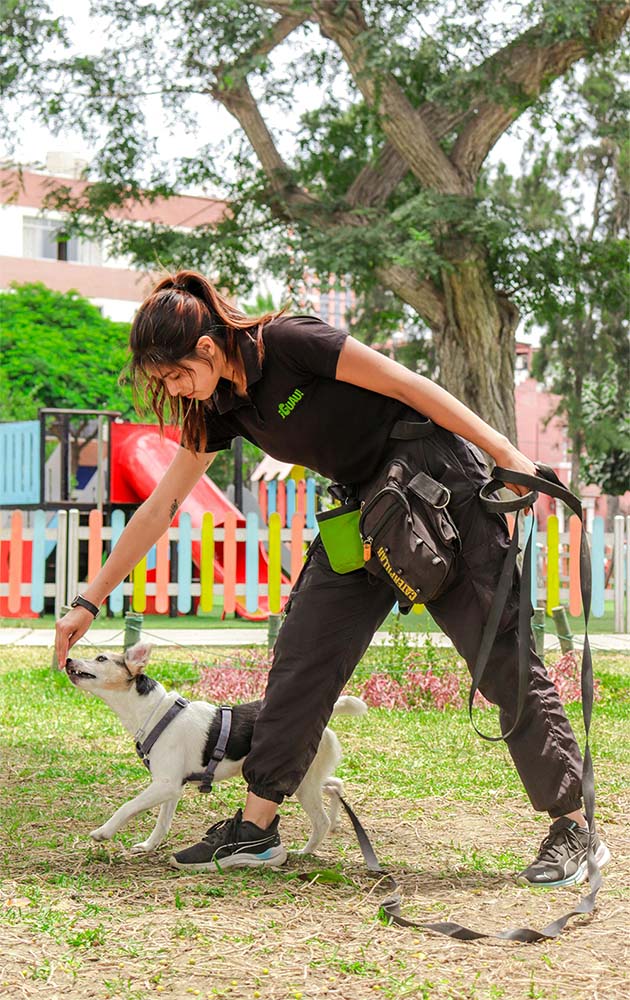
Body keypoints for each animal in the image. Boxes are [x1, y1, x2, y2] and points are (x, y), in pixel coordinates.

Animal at [65, 644, 368, 856]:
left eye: (101, 659)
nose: (67, 659)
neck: (155, 711)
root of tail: (325, 717)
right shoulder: (171, 788)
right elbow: (162, 823)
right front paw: (149, 846)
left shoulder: (165, 785)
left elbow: (127, 806)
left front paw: (104, 831)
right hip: (308, 778)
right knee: (335, 785)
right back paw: (337, 819)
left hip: (301, 785)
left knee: (320, 821)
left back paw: (305, 851)